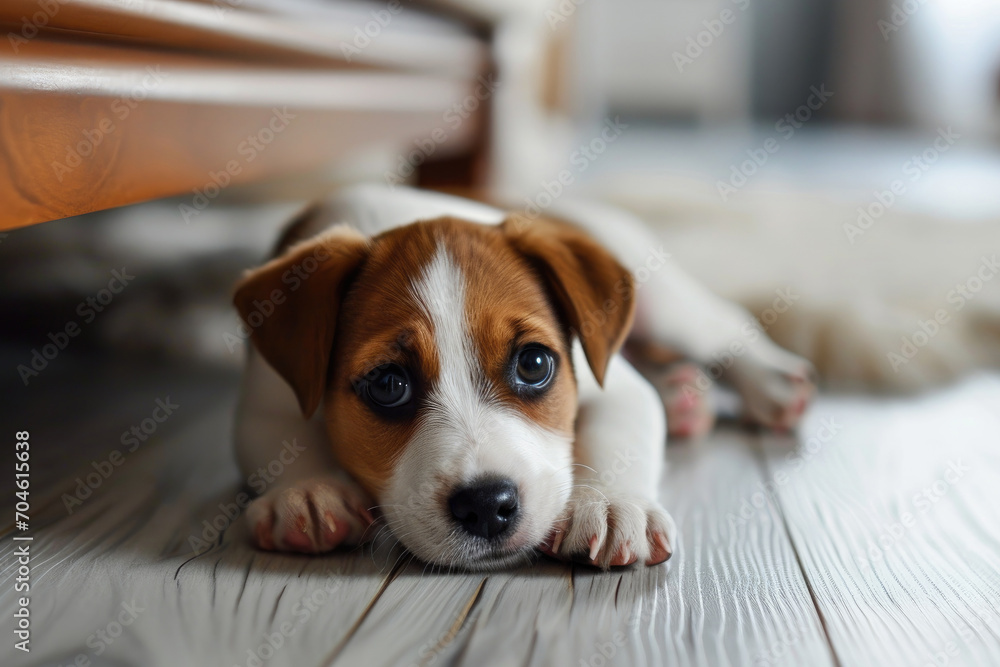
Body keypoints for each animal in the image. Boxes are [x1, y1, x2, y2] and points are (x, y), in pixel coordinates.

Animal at [234, 185, 812, 572]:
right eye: (387, 385)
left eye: (533, 364)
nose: (488, 506)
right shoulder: (267, 394)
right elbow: (280, 438)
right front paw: (307, 492)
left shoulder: (617, 387)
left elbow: (619, 432)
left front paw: (609, 503)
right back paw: (684, 397)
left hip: (661, 298)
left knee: (722, 323)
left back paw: (772, 383)